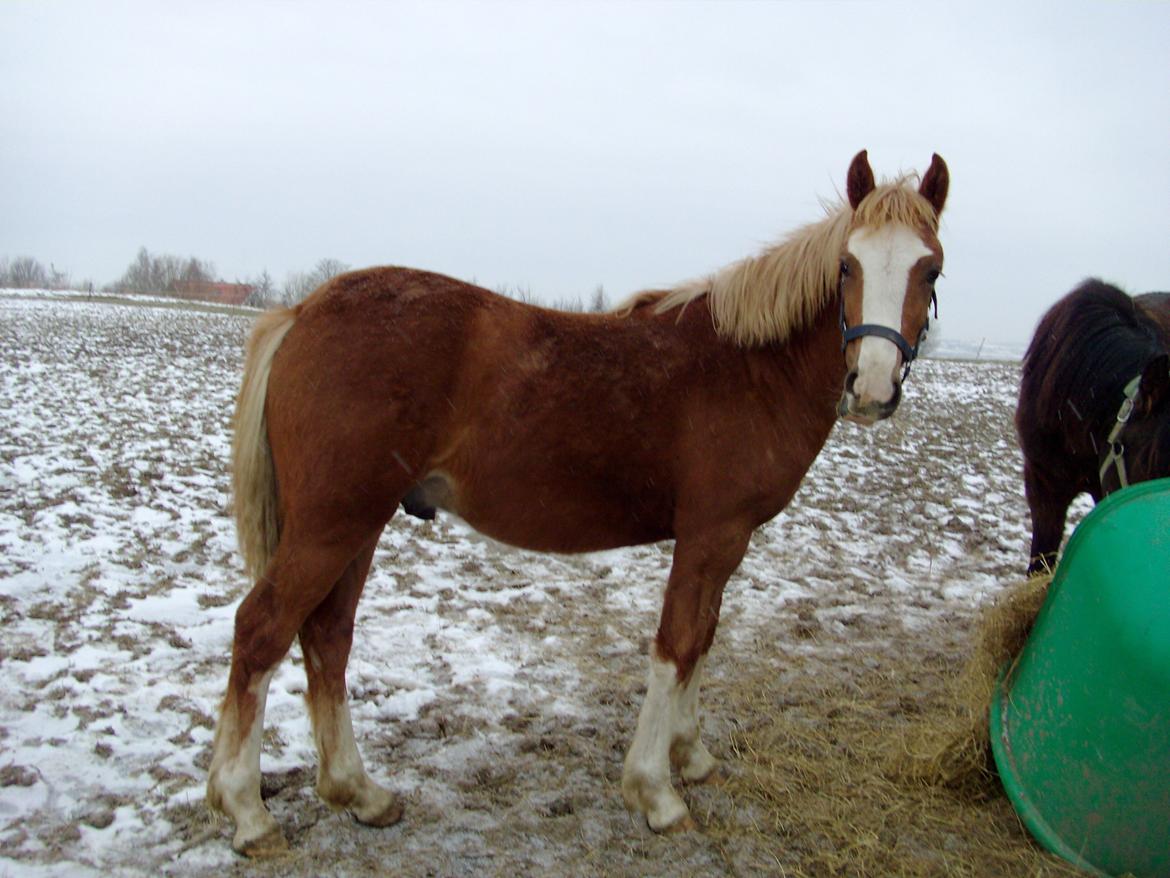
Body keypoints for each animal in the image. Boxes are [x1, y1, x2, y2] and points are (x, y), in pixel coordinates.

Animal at [205, 148, 945, 856]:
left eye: (931, 271)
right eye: (847, 265)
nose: (872, 387)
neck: (751, 367)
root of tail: (303, 311)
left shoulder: (726, 542)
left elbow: (704, 640)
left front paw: (691, 757)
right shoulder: (712, 536)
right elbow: (677, 645)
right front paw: (655, 792)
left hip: (356, 529)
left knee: (327, 636)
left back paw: (358, 792)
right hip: (333, 525)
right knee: (263, 629)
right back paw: (249, 813)